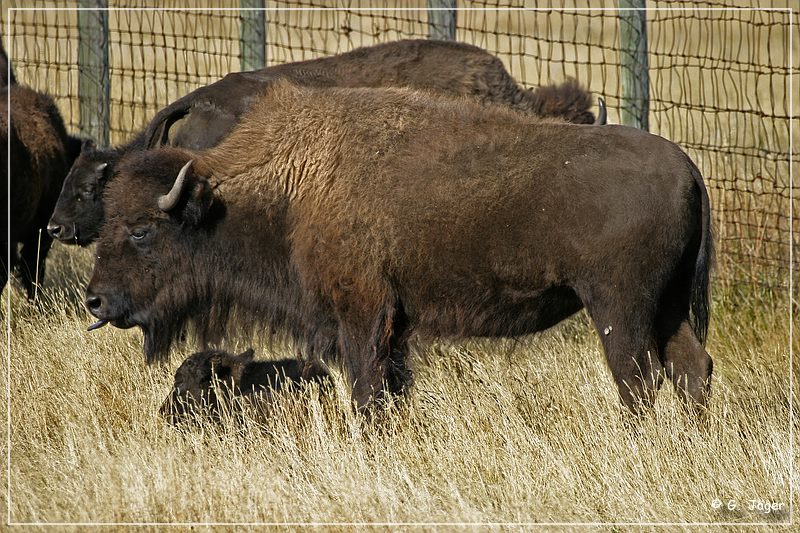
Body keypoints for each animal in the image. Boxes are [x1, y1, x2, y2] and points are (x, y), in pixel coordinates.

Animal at [86, 82, 712, 416]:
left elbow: (367, 390)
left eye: (142, 230)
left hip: (619, 308)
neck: (296, 186)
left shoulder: (363, 312)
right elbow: (390, 386)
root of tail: (686, 166)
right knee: (692, 368)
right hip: (669, 307)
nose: (96, 301)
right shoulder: (394, 324)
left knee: (638, 380)